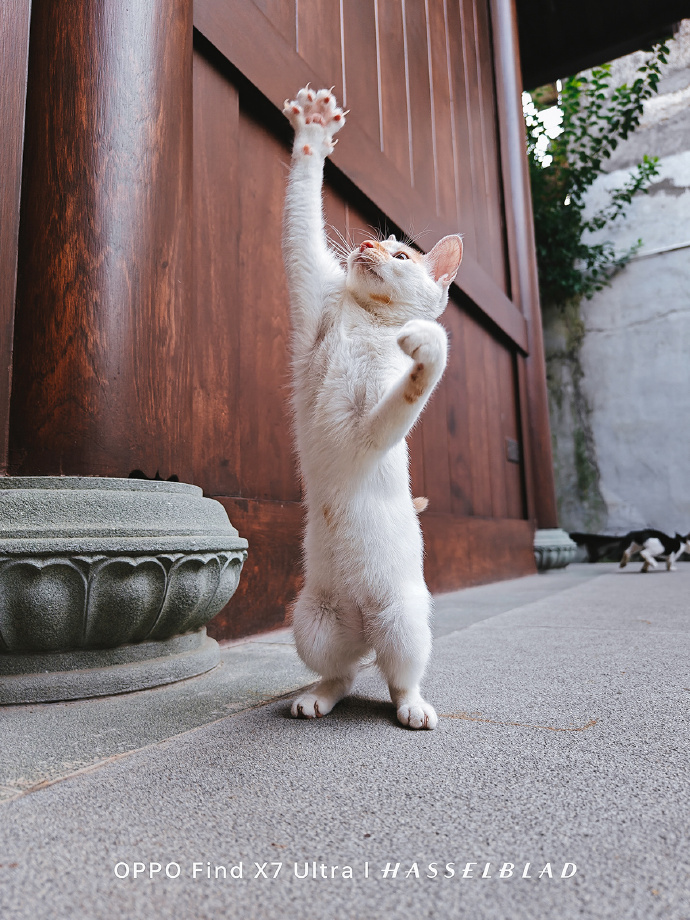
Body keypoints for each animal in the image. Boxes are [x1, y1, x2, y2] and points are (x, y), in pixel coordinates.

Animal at [280, 88, 462, 732]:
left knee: (397, 673)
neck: (366, 318)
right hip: (310, 622)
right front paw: (312, 132)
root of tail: (362, 623)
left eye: (401, 253)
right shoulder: (310, 292)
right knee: (345, 671)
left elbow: (407, 391)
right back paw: (317, 694)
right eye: (374, 239)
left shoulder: (371, 425)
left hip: (404, 619)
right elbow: (300, 216)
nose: (363, 245)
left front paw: (427, 349)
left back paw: (414, 707)